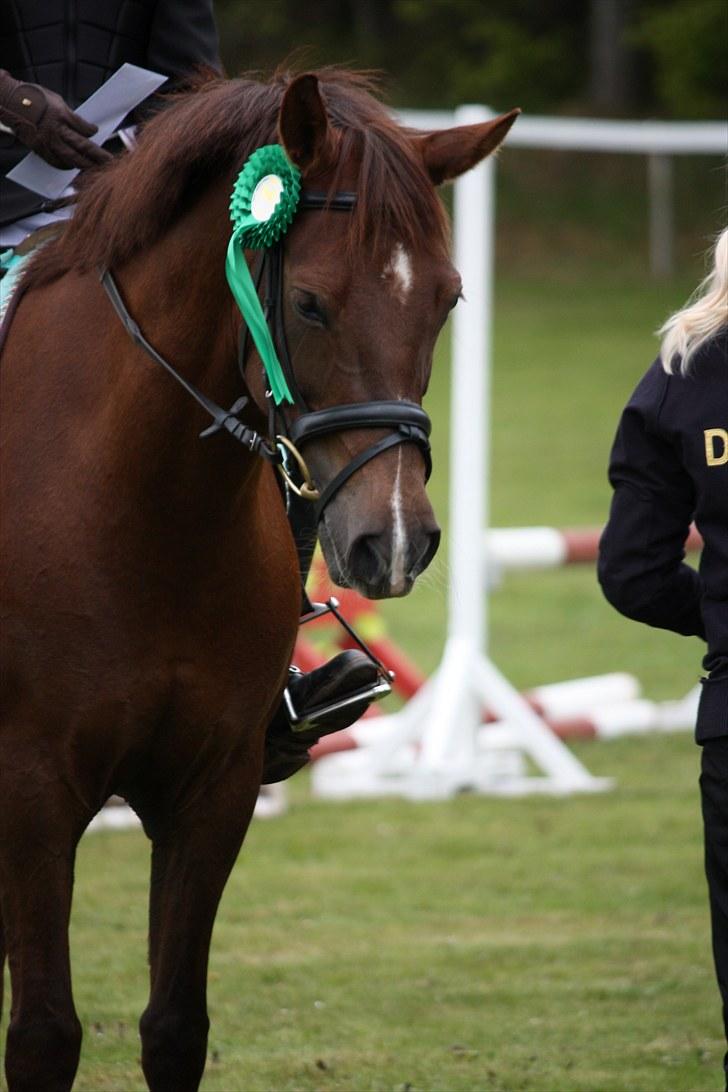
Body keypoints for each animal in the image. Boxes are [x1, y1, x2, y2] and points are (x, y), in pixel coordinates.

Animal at [0, 68, 518, 1091]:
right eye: (309, 304)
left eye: (448, 300)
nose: (395, 542)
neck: (144, 511)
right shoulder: (30, 792)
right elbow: (41, 1036)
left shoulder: (214, 788)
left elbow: (174, 1027)